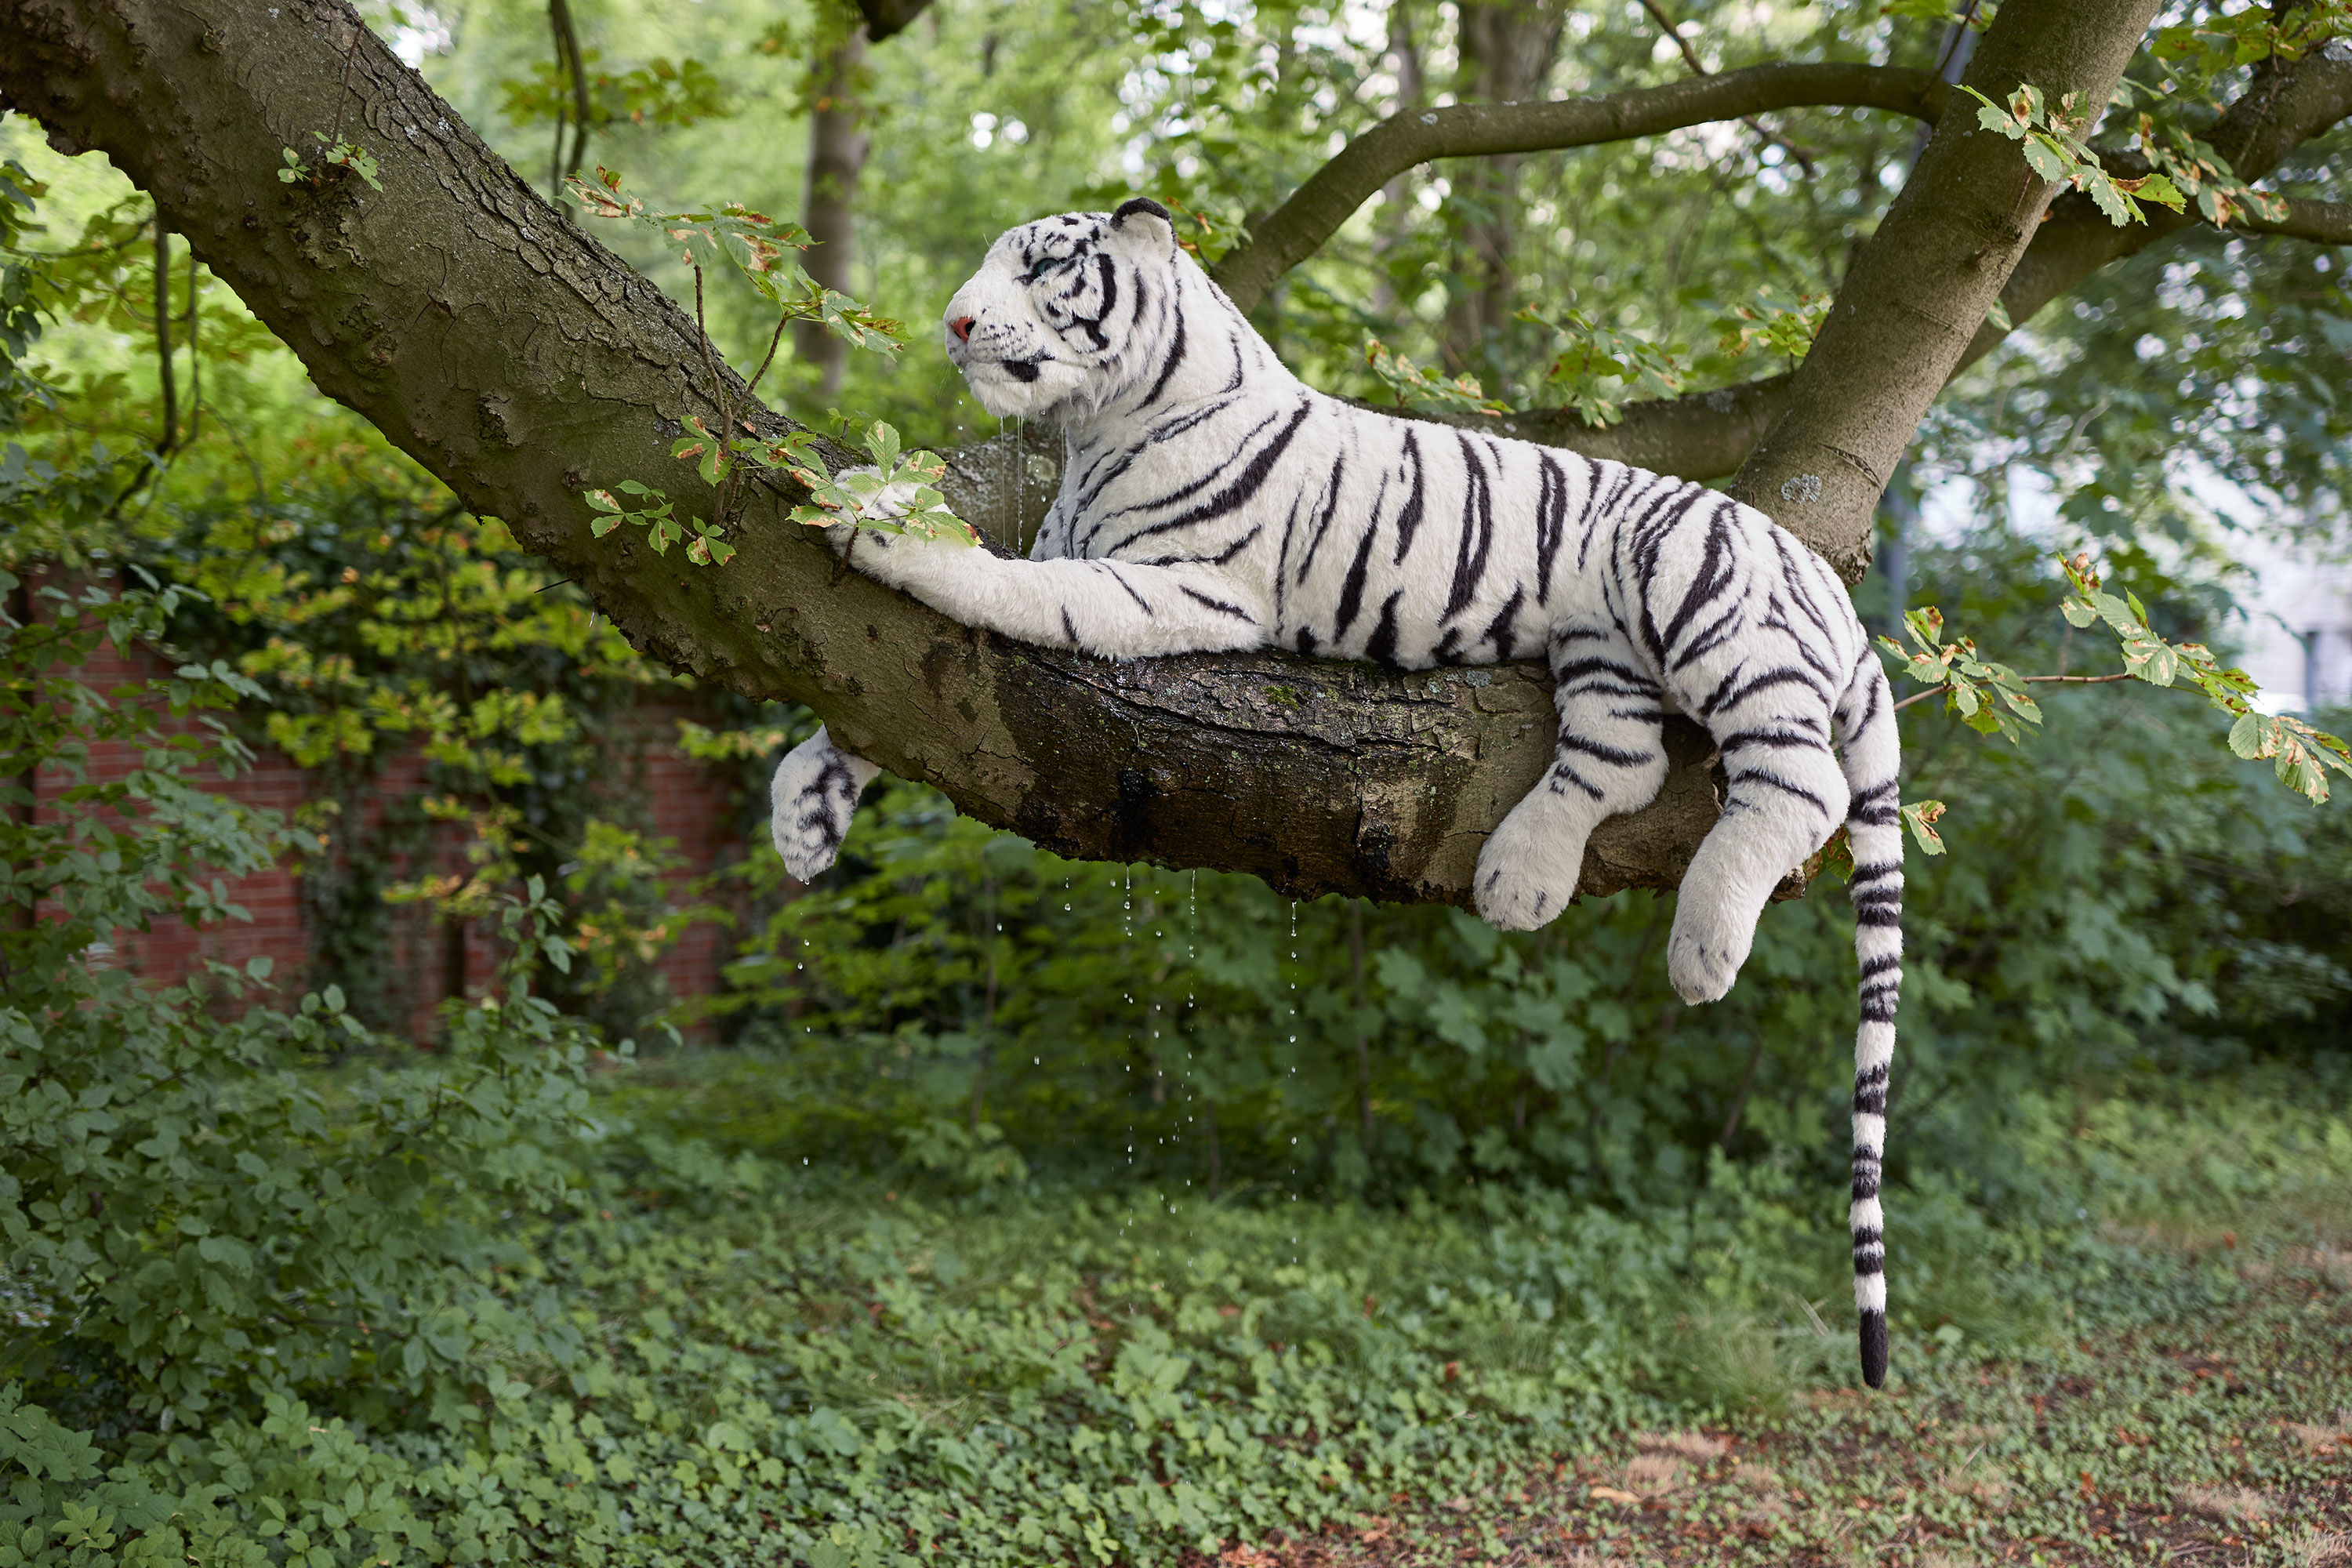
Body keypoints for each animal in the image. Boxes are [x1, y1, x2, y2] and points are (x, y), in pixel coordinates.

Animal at [769, 197, 1904, 1388]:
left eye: (1041, 267)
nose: (952, 323)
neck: (1093, 433)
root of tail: (1828, 585)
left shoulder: (1177, 587)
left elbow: (1009, 590)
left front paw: (882, 528)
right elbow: (878, 712)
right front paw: (805, 810)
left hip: (1694, 591)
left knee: (1802, 786)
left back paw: (1701, 947)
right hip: (1603, 647)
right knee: (1624, 758)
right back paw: (1520, 880)